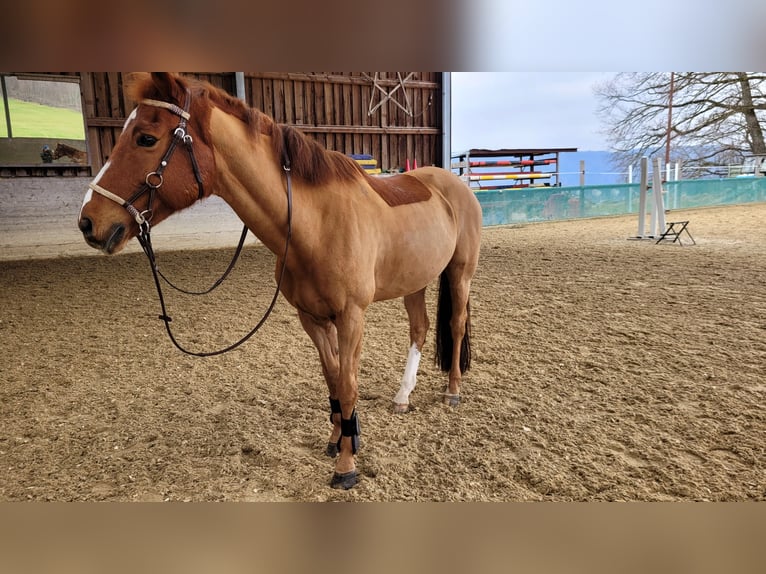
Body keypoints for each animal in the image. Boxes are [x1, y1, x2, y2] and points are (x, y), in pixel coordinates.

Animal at [77, 72, 482, 490]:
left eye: (145, 138)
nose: (88, 221)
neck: (317, 221)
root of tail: (453, 184)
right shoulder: (312, 318)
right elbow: (332, 378)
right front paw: (338, 440)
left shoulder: (351, 317)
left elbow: (348, 384)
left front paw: (346, 467)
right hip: (414, 282)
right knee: (419, 329)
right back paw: (402, 397)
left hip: (460, 273)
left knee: (455, 324)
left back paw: (452, 391)